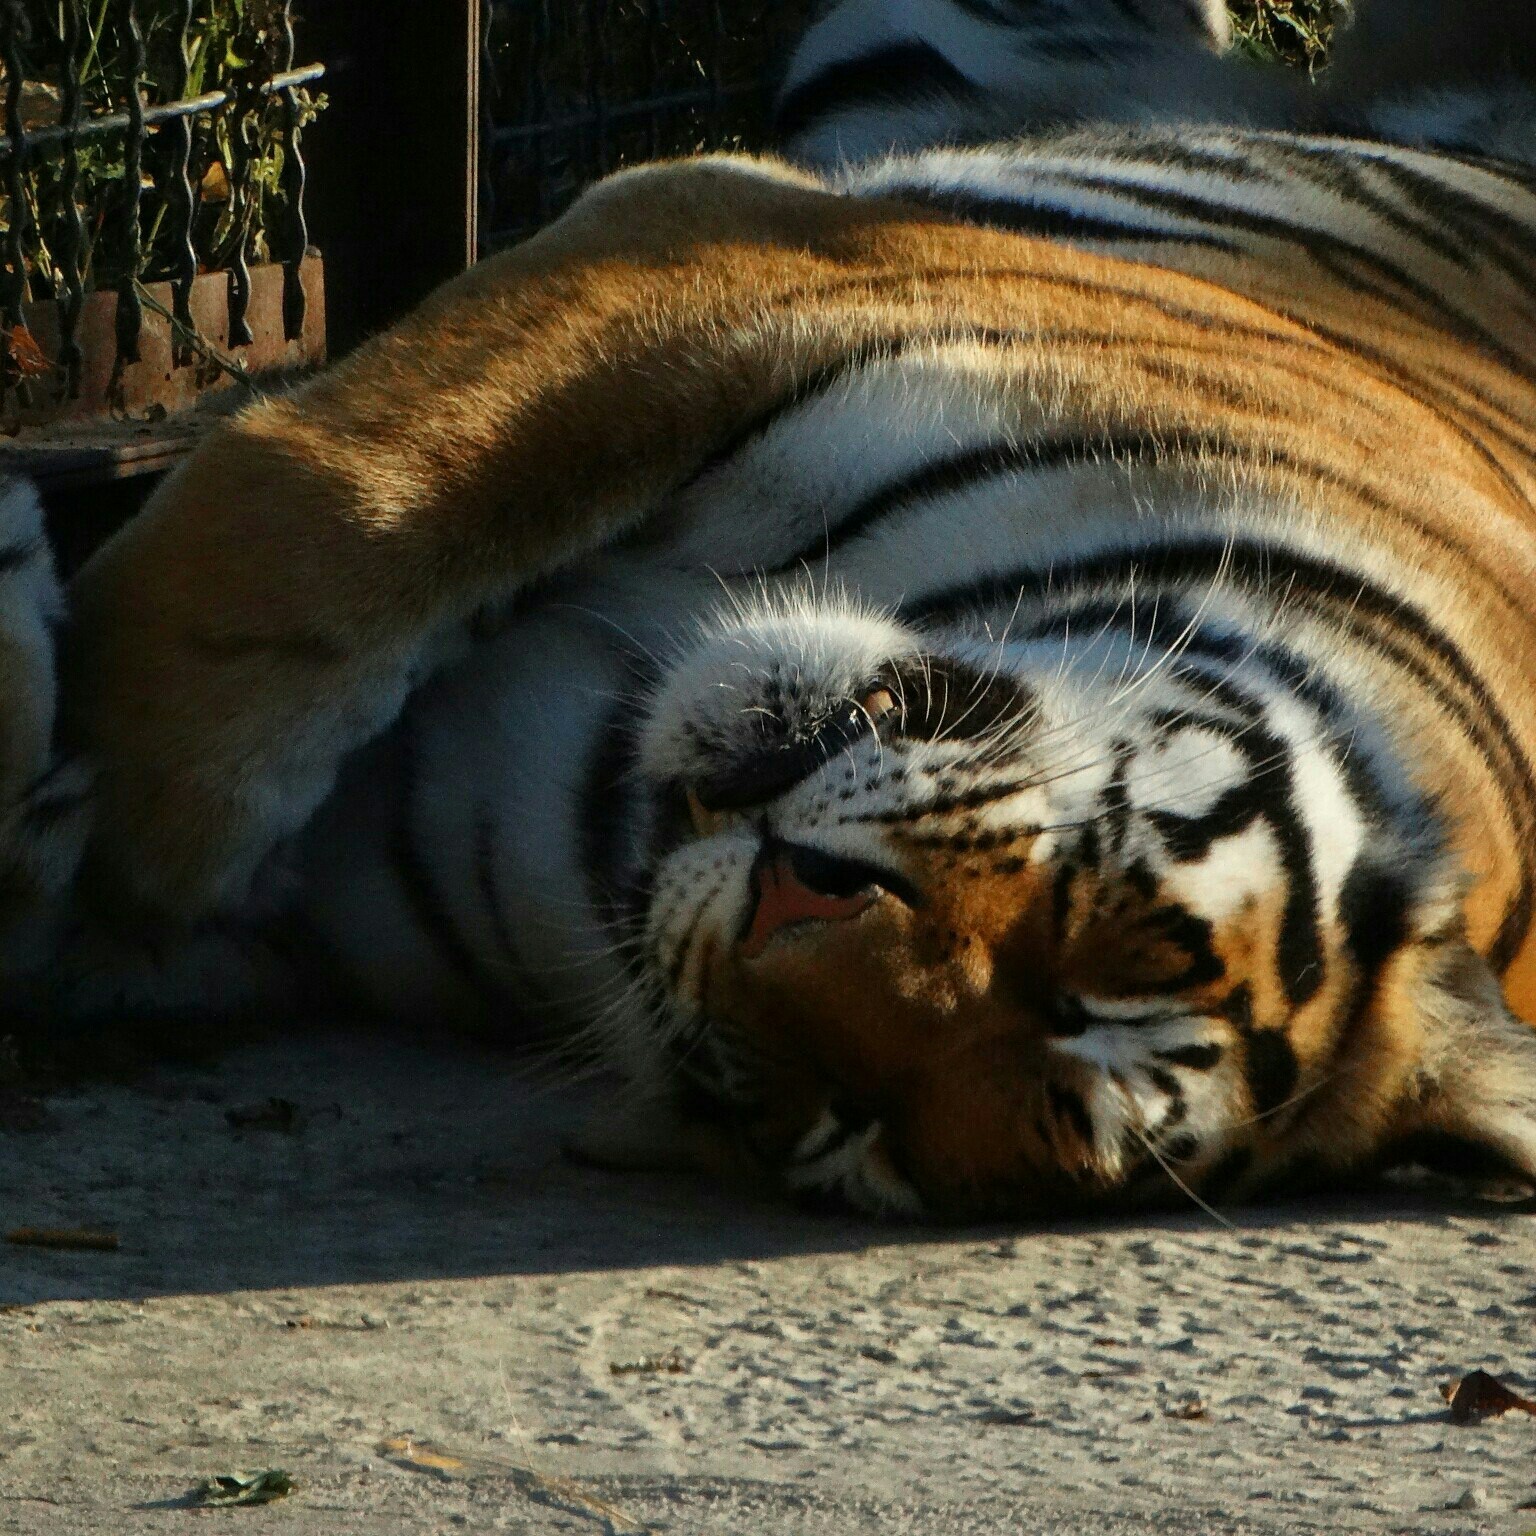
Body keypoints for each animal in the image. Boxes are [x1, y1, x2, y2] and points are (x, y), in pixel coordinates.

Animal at [3, 0, 1536, 1222]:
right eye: (1118, 942)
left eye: (844, 1129)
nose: (790, 894)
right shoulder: (753, 251)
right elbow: (317, 512)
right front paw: (107, 769)